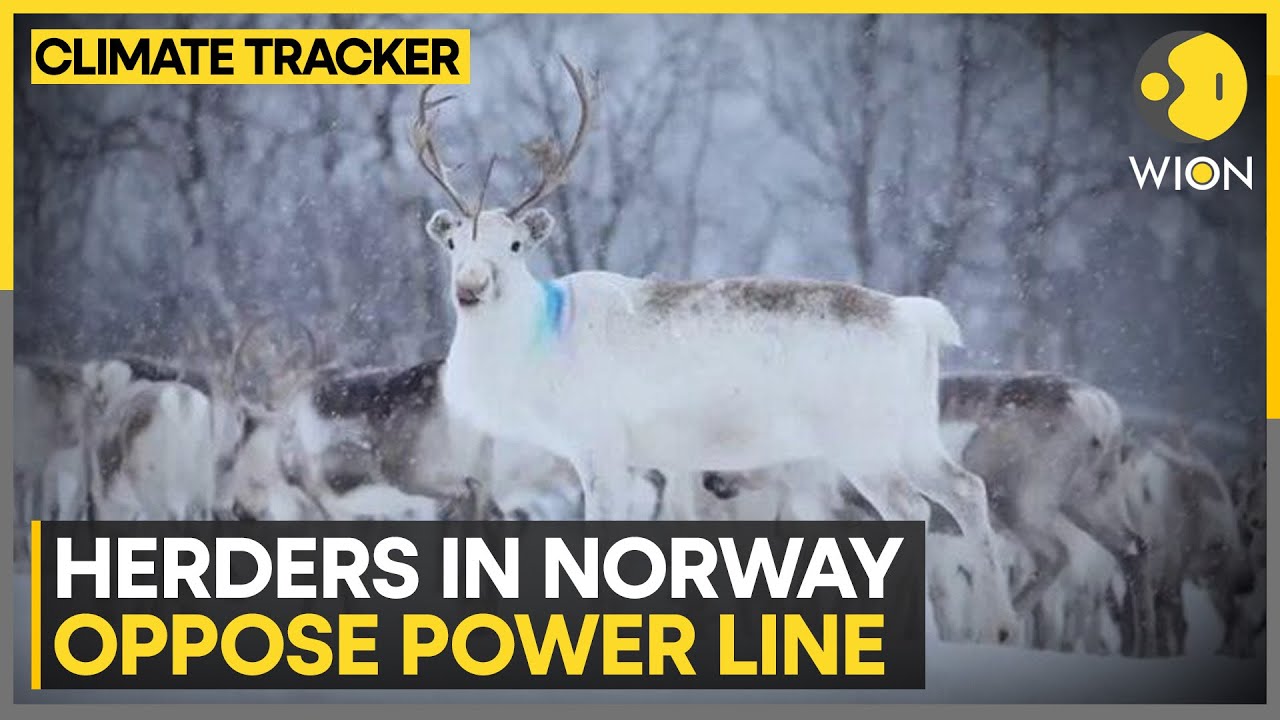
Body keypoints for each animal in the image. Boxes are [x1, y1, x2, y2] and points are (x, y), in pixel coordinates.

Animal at [408, 56, 1020, 644]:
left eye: (514, 245)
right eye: (453, 242)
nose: (470, 287)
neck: (536, 348)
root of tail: (919, 320)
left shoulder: (599, 441)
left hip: (860, 438)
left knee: (912, 507)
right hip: (915, 429)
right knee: (966, 489)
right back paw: (1002, 626)